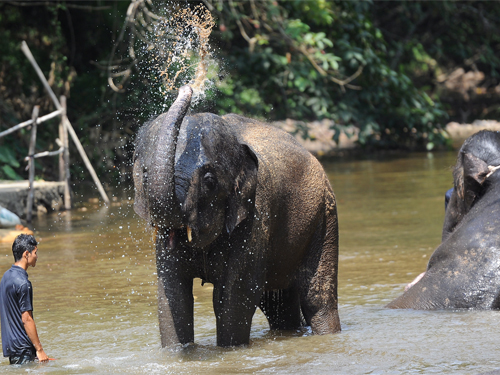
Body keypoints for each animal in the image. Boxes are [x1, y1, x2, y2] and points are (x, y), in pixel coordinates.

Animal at [133, 86, 342, 348]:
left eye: (209, 181)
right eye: (145, 176)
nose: (187, 88)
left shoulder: (255, 218)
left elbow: (233, 297)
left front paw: (230, 349)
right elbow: (172, 296)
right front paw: (178, 352)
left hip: (325, 216)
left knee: (317, 299)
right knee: (278, 306)